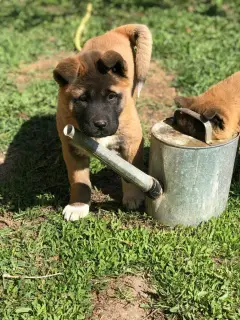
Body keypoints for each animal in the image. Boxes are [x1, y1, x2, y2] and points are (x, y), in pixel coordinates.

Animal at [53, 24, 153, 220]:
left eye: (111, 97)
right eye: (82, 99)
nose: (100, 125)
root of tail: (116, 31)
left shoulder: (132, 143)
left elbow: (131, 174)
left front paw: (133, 197)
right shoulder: (72, 148)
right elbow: (79, 181)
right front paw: (78, 206)